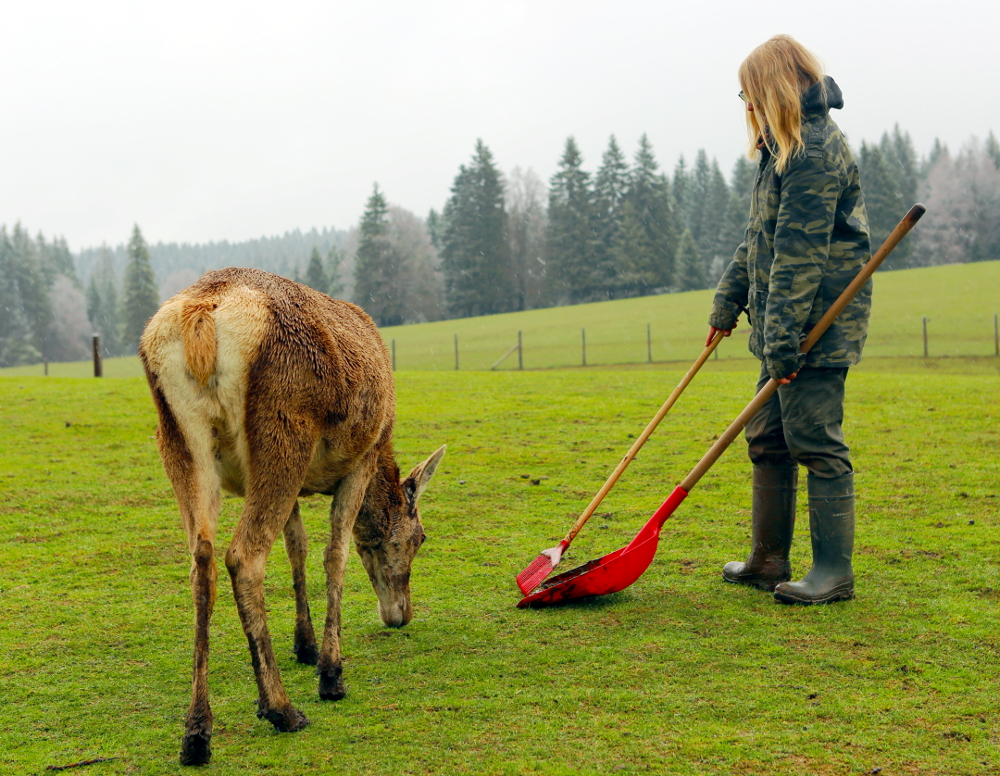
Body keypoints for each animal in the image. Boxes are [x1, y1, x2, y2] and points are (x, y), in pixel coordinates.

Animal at [139, 266, 444, 764]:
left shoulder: (291, 486)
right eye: (419, 538)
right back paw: (280, 708)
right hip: (283, 429)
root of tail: (202, 316)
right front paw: (330, 672)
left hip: (176, 440)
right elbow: (334, 552)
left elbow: (296, 546)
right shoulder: (360, 460)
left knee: (201, 561)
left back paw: (197, 732)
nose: (402, 614)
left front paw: (304, 645)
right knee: (243, 556)